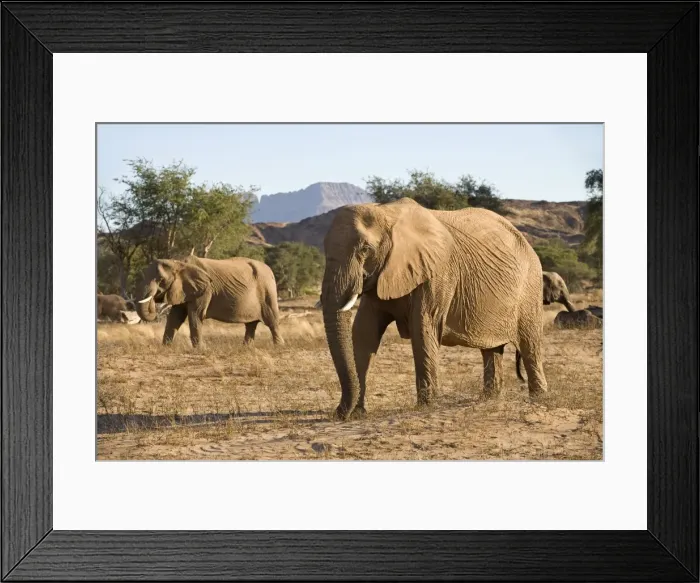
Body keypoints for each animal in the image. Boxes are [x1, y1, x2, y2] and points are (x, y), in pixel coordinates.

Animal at [134, 254, 284, 347]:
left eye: (161, 280)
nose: (155, 299)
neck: (178, 262)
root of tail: (270, 270)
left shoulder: (205, 289)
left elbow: (196, 315)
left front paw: (201, 349)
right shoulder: (184, 289)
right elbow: (175, 316)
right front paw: (166, 347)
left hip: (267, 290)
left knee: (272, 321)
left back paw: (279, 346)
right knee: (251, 324)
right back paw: (246, 347)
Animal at [319, 197, 548, 421]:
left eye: (365, 249)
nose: (338, 414)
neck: (387, 213)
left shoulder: (437, 273)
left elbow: (423, 327)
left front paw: (425, 407)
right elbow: (364, 332)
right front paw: (357, 413)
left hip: (530, 287)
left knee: (529, 343)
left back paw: (538, 398)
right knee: (492, 350)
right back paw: (489, 398)